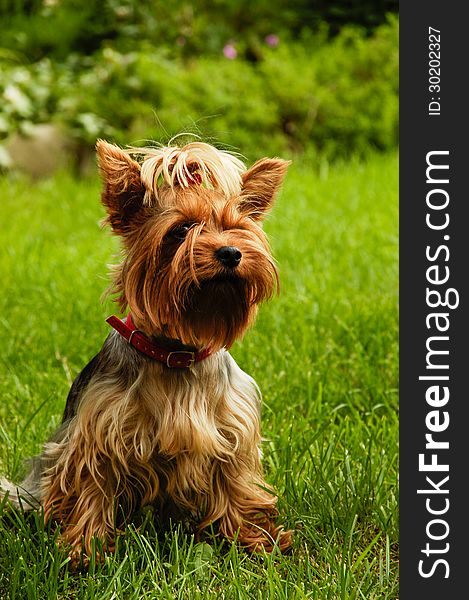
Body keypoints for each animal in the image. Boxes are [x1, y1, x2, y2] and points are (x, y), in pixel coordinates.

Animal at [0, 139, 292, 564]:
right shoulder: (99, 432)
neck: (176, 353)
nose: (231, 253)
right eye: (182, 229)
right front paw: (85, 548)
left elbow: (236, 483)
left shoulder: (232, 431)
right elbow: (94, 485)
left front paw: (253, 539)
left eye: (237, 228)